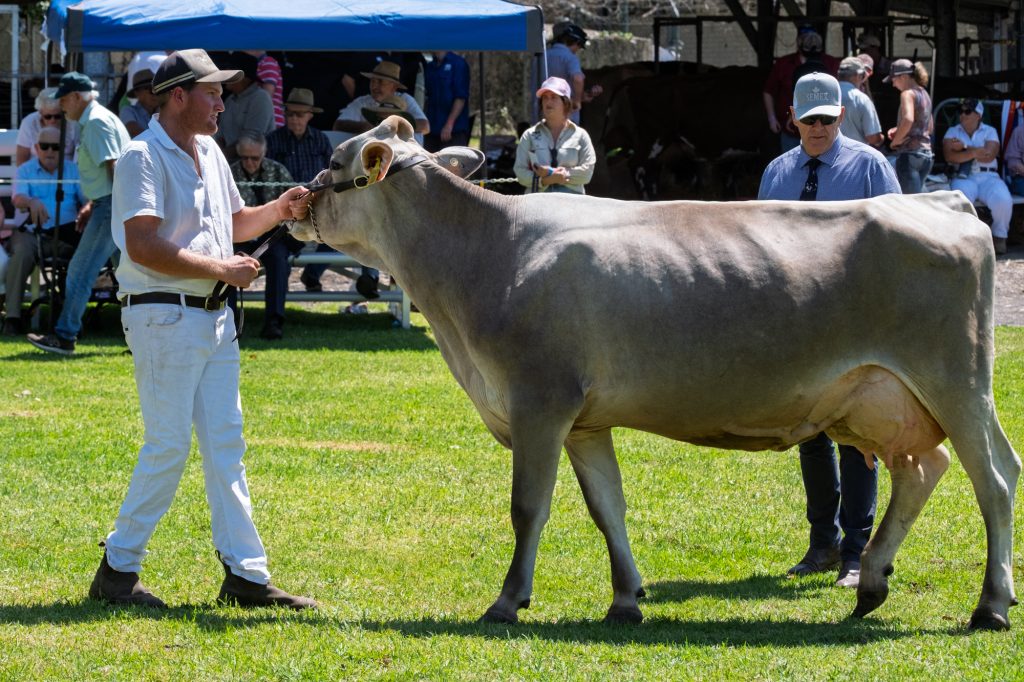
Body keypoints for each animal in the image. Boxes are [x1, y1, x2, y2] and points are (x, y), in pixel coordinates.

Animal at [290, 116, 1020, 631]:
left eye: (334, 162)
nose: (297, 199)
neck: (485, 254)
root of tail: (941, 201)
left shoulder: (539, 399)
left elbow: (528, 506)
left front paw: (507, 600)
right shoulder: (584, 421)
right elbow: (607, 508)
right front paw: (626, 599)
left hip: (956, 382)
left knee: (993, 478)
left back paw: (989, 605)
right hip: (881, 398)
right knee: (924, 470)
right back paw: (871, 584)